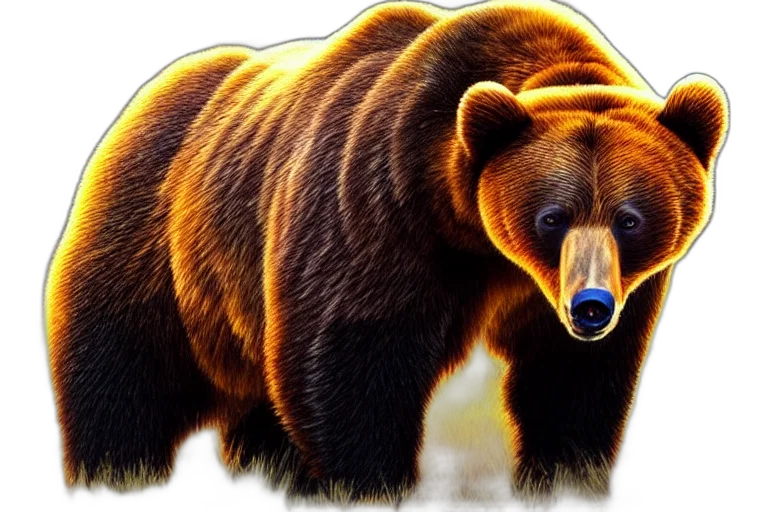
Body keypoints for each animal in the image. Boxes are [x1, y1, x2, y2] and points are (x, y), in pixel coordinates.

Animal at [44, 0, 728, 495]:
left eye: (630, 219)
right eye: (552, 217)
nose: (590, 306)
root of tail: (141, 103)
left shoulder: (582, 294)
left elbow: (571, 377)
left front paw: (564, 477)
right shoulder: (377, 200)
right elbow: (354, 350)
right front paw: (370, 482)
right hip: (153, 240)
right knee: (122, 376)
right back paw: (119, 474)